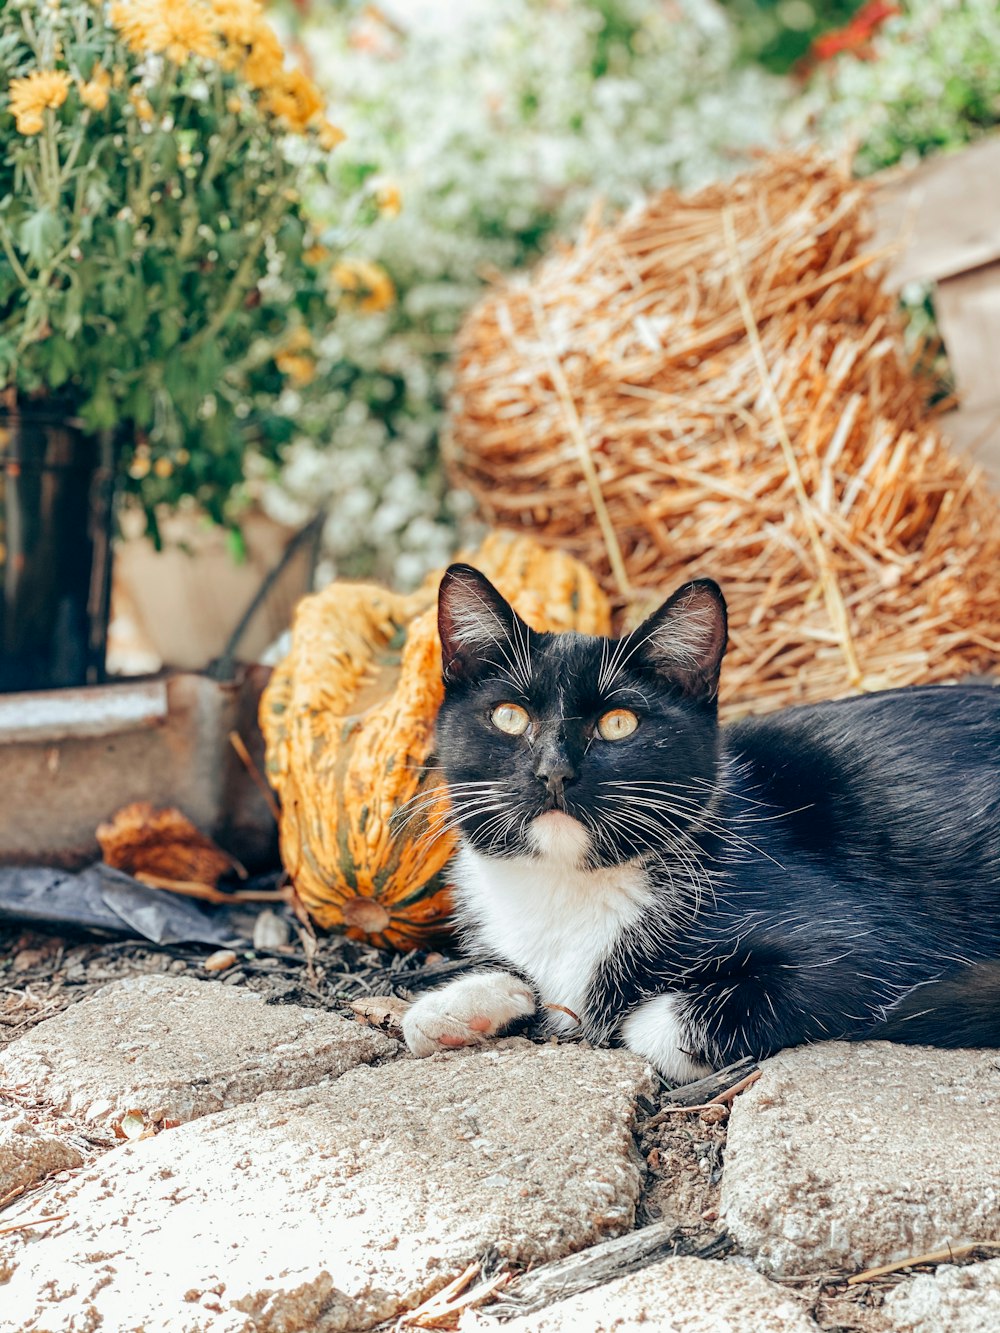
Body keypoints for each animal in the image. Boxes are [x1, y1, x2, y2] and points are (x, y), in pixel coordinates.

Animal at [402, 562, 1000, 1082]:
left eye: (619, 723)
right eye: (509, 716)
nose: (555, 771)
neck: (566, 884)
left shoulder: (865, 950)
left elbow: (650, 1026)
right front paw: (452, 1007)